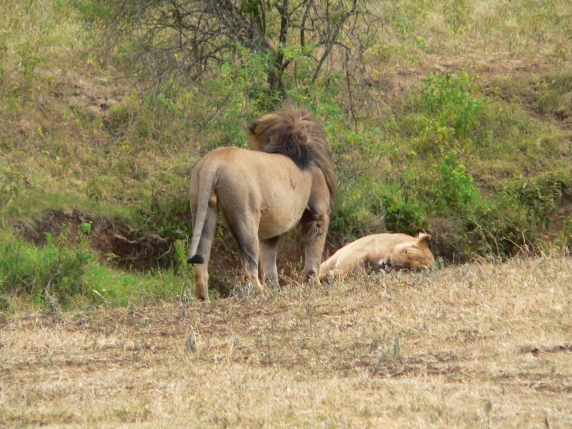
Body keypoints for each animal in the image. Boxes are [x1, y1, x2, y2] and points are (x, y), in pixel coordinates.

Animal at [187, 105, 337, 301]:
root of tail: (212, 162)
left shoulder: (271, 228)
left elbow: (269, 260)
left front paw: (275, 287)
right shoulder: (317, 212)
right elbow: (314, 252)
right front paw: (312, 283)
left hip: (202, 207)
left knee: (201, 265)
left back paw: (204, 299)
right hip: (245, 215)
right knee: (249, 266)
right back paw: (262, 293)